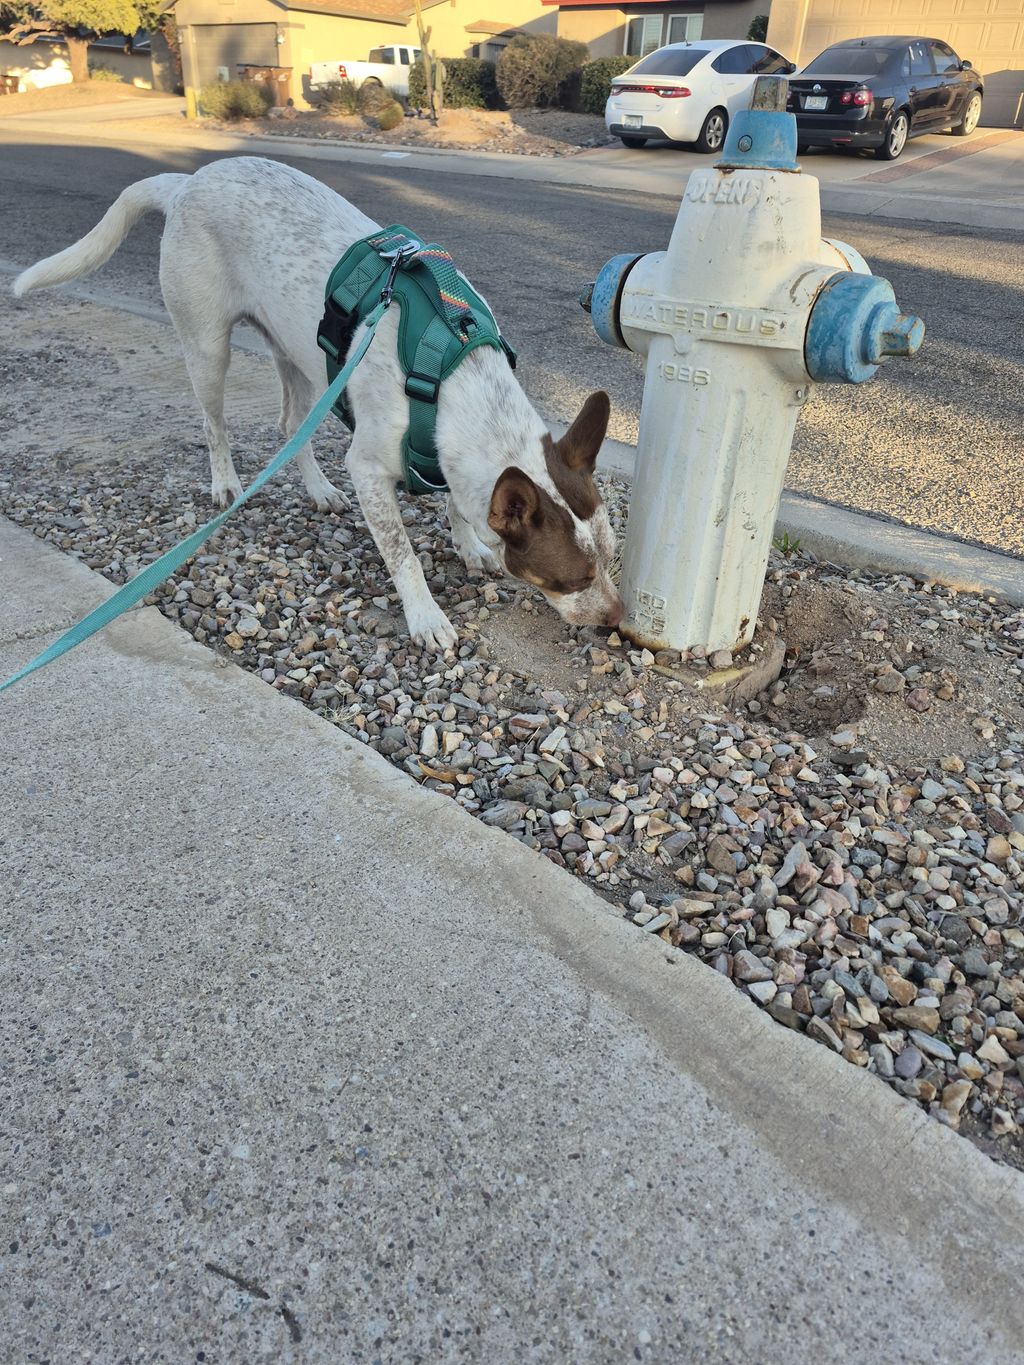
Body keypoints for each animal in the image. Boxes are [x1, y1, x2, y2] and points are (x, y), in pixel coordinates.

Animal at [18, 156, 625, 647]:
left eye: (612, 558)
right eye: (571, 579)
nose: (618, 618)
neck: (456, 378)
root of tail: (189, 180)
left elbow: (457, 502)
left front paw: (469, 543)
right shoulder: (369, 469)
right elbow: (403, 555)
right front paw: (426, 616)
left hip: (303, 357)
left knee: (291, 424)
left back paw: (317, 489)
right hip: (208, 345)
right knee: (215, 422)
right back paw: (226, 484)